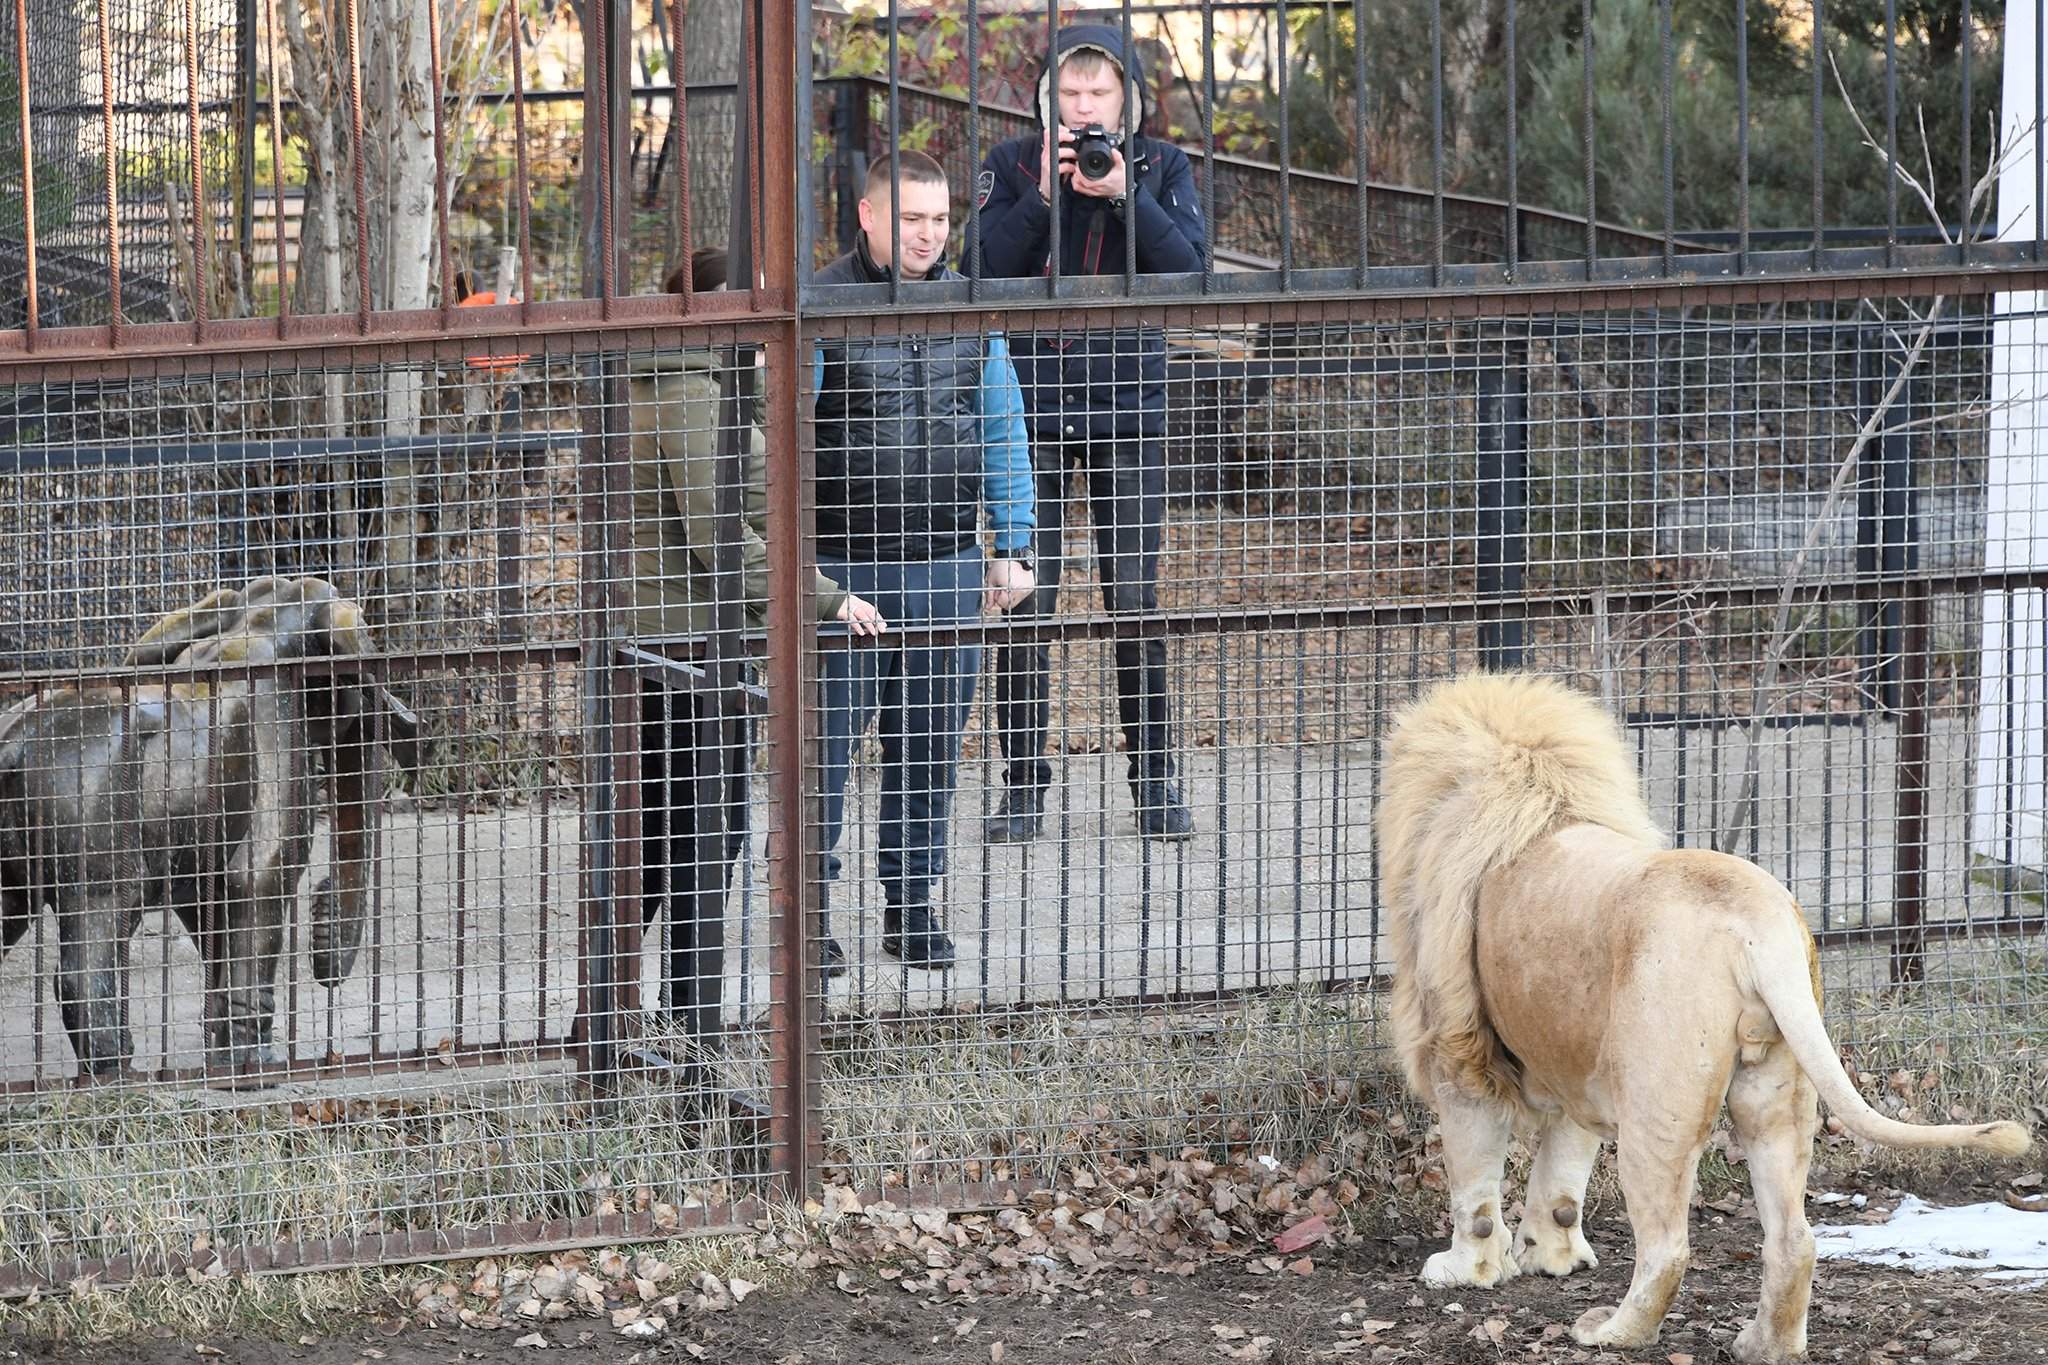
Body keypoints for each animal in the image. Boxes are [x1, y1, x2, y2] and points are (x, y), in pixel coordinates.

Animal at [0, 577, 415, 1088]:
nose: (323, 894)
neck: (257, 622)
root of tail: (12, 744)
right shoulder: (275, 737)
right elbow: (257, 880)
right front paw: (260, 1072)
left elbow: (210, 905)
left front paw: (224, 1065)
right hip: (91, 817)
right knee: (95, 933)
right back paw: (119, 1077)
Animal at [1376, 675, 2031, 1365]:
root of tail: (1758, 921)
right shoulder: (1575, 1059)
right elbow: (1563, 1180)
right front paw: (1551, 1259)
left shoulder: (1456, 1052)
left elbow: (1474, 1184)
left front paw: (1466, 1270)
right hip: (1777, 1091)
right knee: (1794, 1239)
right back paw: (1764, 1345)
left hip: (1656, 1109)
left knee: (1667, 1249)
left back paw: (1612, 1332)